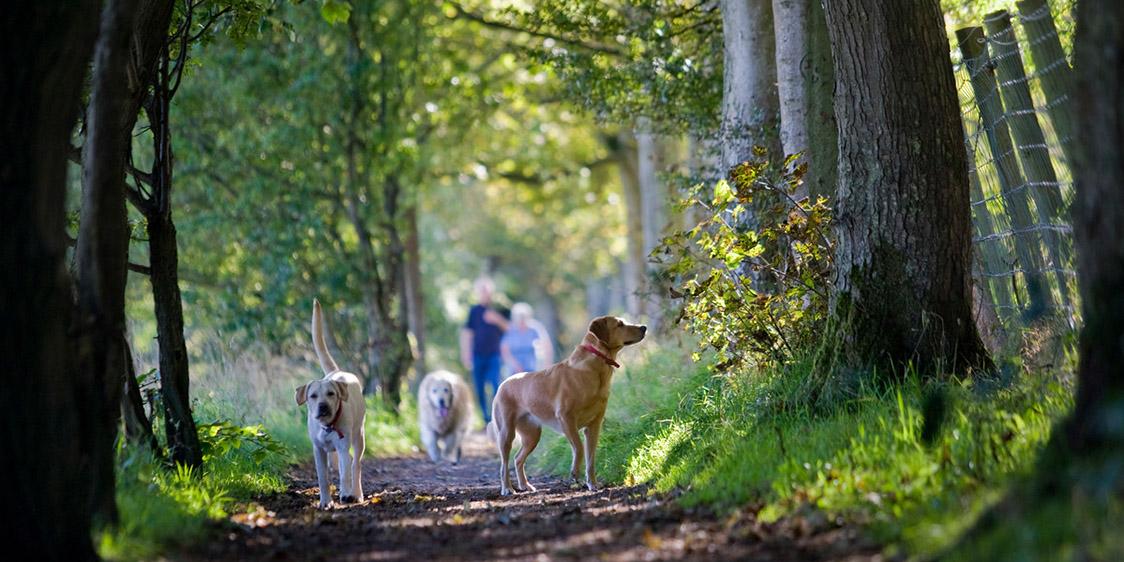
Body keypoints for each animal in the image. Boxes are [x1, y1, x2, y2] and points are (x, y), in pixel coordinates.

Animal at [296, 298, 366, 510]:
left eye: (331, 394)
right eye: (312, 396)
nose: (323, 406)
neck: (328, 426)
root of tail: (337, 372)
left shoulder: (343, 446)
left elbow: (345, 473)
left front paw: (346, 494)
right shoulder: (318, 451)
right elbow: (323, 478)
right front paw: (325, 501)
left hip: (359, 436)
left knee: (354, 464)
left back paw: (356, 493)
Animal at [487, 316, 647, 496]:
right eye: (620, 324)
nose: (644, 327)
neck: (596, 366)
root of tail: (503, 383)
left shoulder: (594, 425)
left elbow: (591, 458)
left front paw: (592, 483)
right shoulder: (566, 419)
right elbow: (579, 447)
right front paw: (575, 472)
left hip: (532, 435)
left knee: (518, 459)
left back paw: (524, 485)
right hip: (506, 432)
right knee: (504, 464)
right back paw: (507, 488)